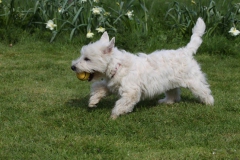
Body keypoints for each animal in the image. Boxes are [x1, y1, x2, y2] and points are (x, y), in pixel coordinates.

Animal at [71, 18, 214, 119]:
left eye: (87, 59)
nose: (73, 67)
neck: (118, 66)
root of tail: (185, 51)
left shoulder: (131, 92)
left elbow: (122, 103)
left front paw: (114, 115)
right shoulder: (111, 85)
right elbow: (99, 88)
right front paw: (93, 101)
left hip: (193, 81)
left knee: (204, 90)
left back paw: (209, 103)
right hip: (170, 82)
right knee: (174, 94)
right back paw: (166, 101)